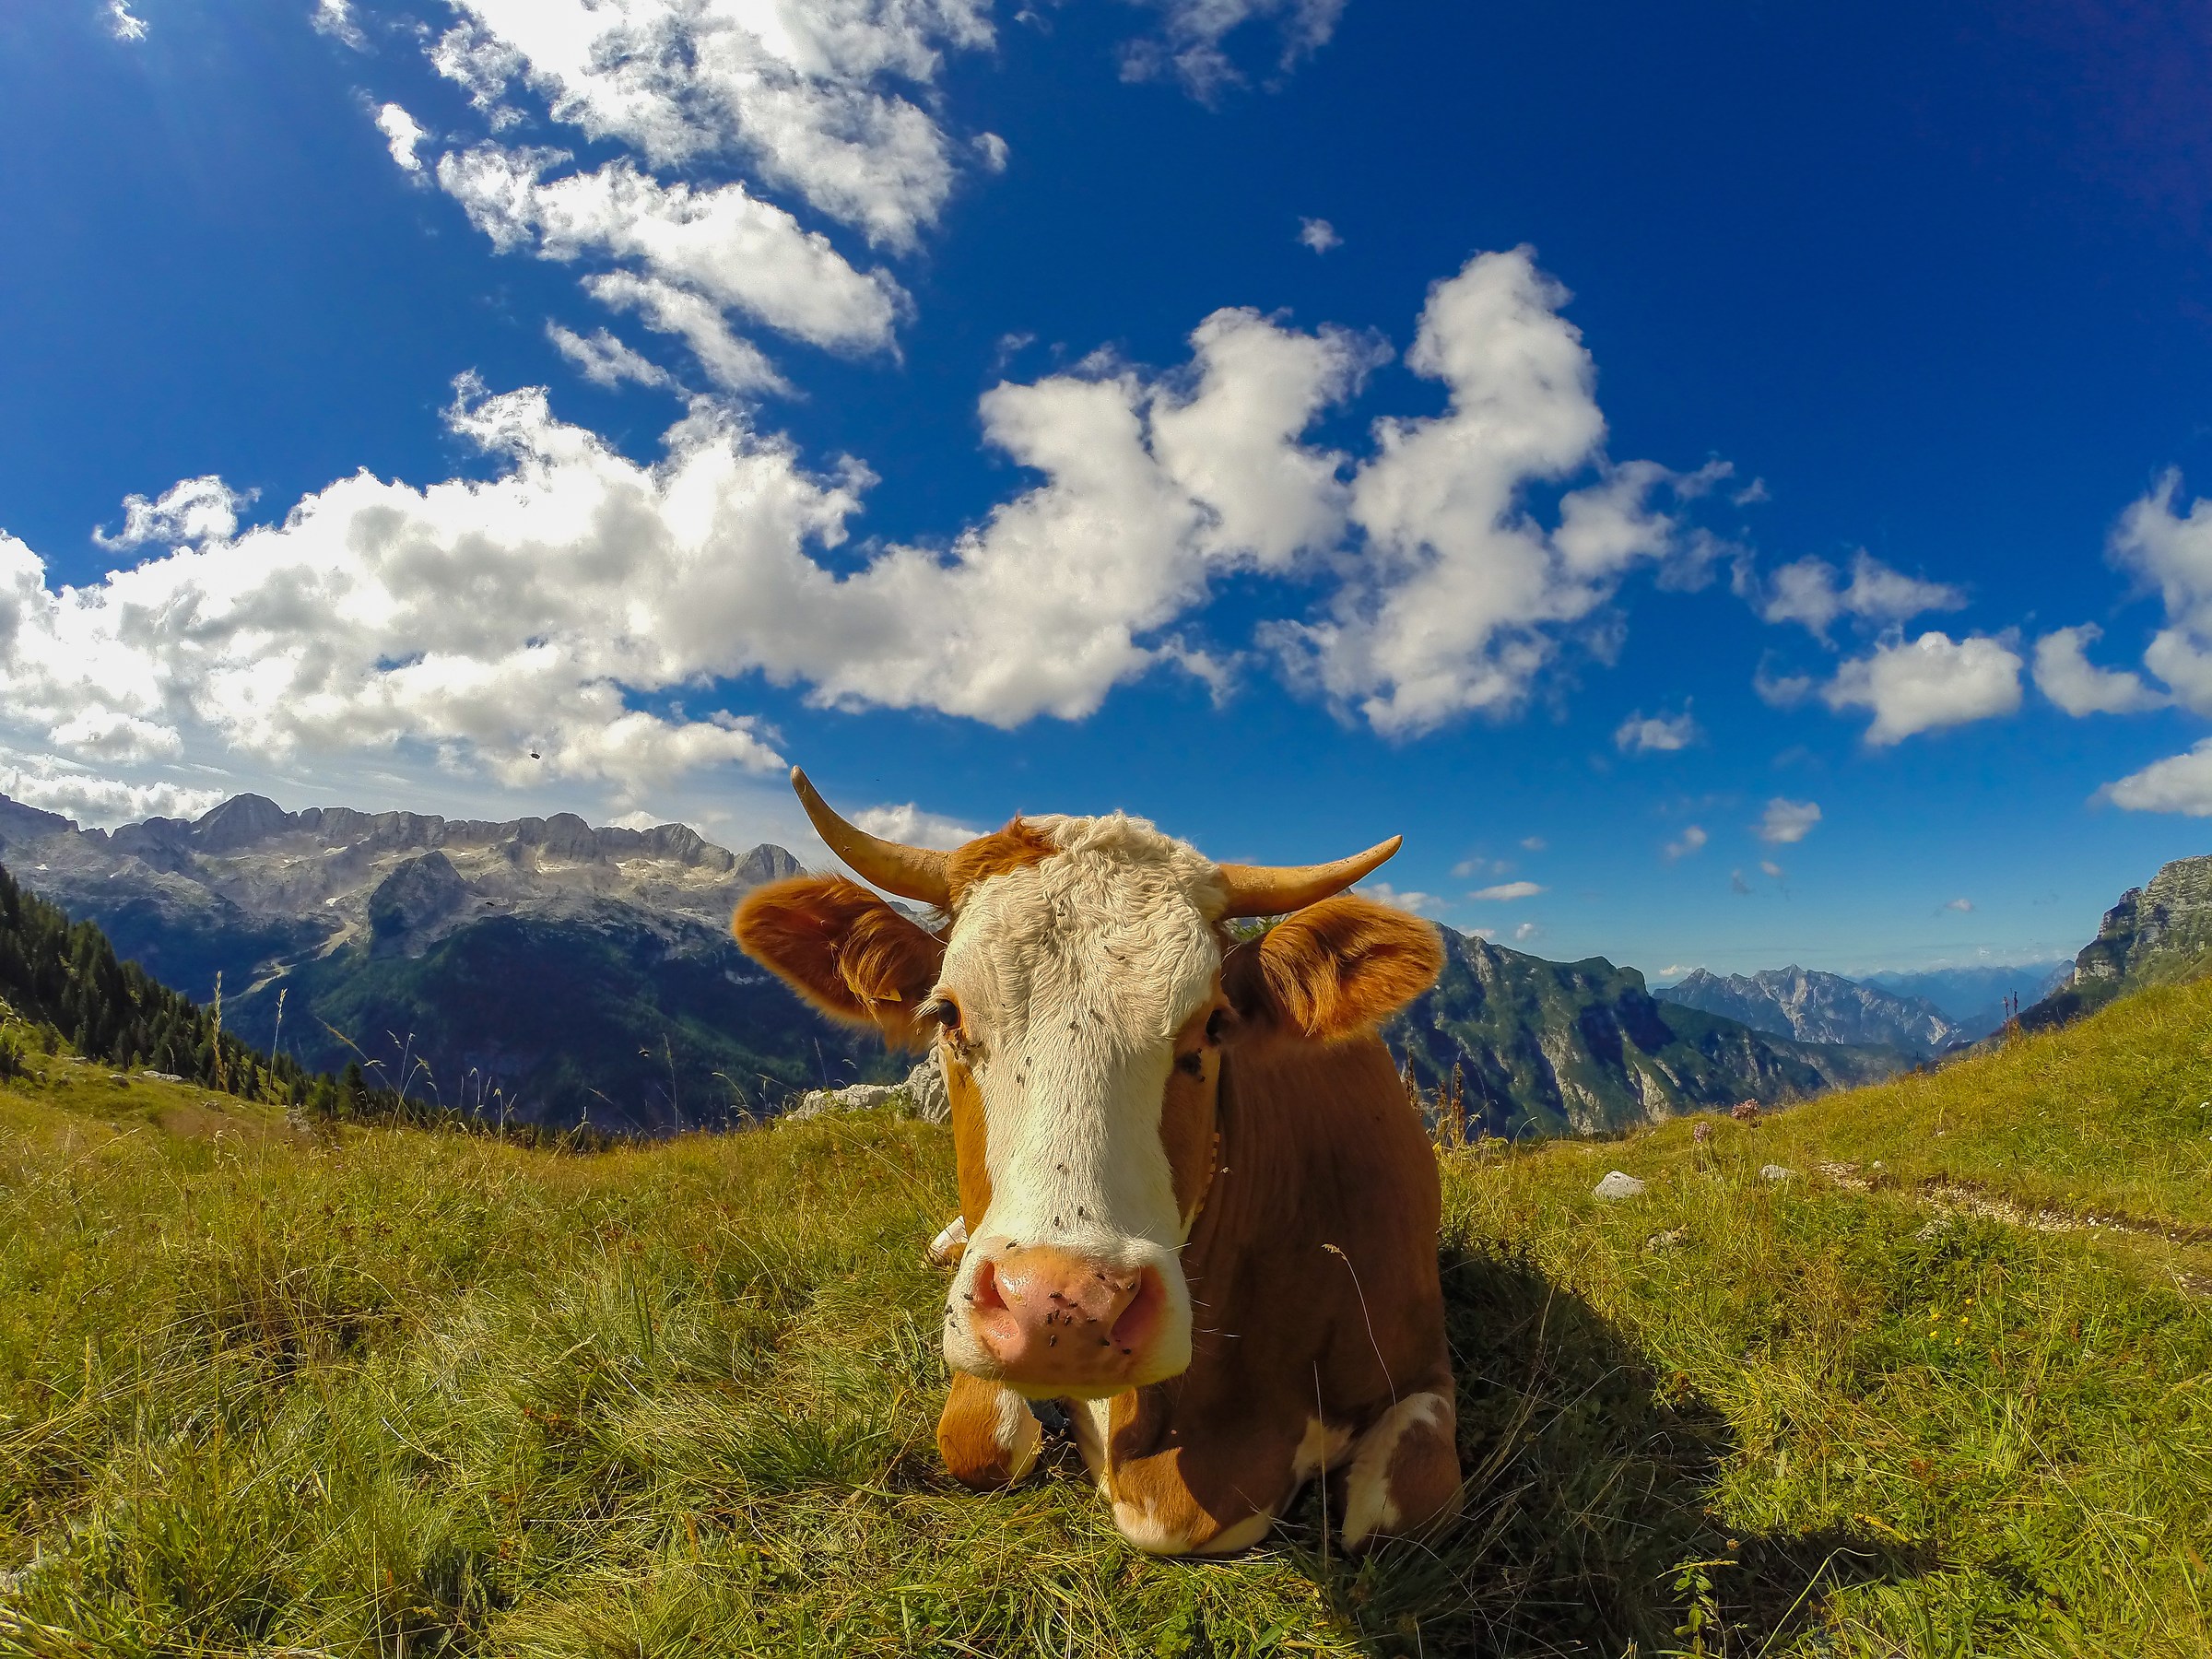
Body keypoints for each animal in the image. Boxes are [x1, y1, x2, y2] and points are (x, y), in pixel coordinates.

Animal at [733, 768, 1458, 1557]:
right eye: (947, 1014)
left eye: (1215, 1024)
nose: (1064, 1310)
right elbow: (978, 1443)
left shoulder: (1420, 1360)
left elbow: (1402, 1507)